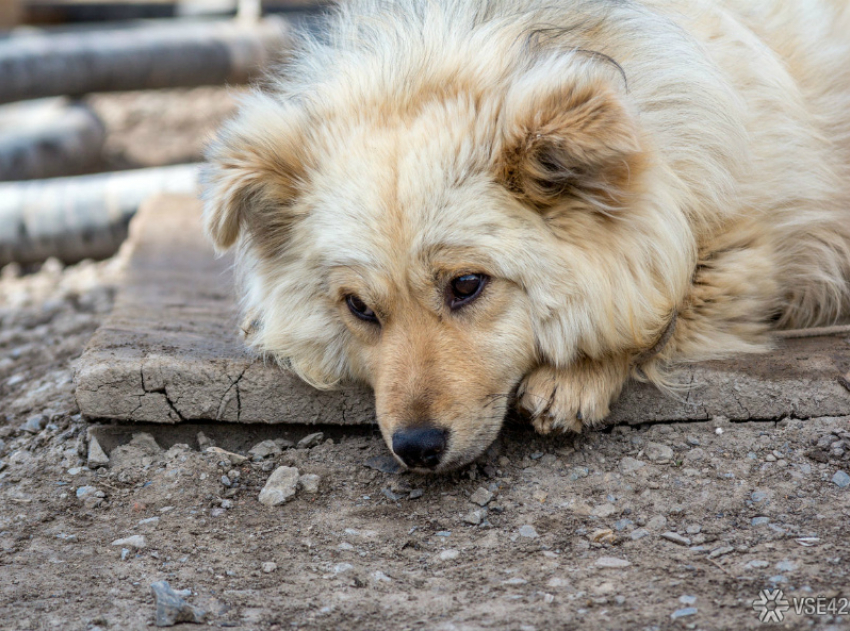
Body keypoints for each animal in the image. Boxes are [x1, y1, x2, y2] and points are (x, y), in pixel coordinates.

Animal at [204, 0, 848, 472]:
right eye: (358, 307)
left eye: (466, 285)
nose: (416, 449)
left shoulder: (745, 255)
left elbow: (657, 306)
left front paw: (576, 375)